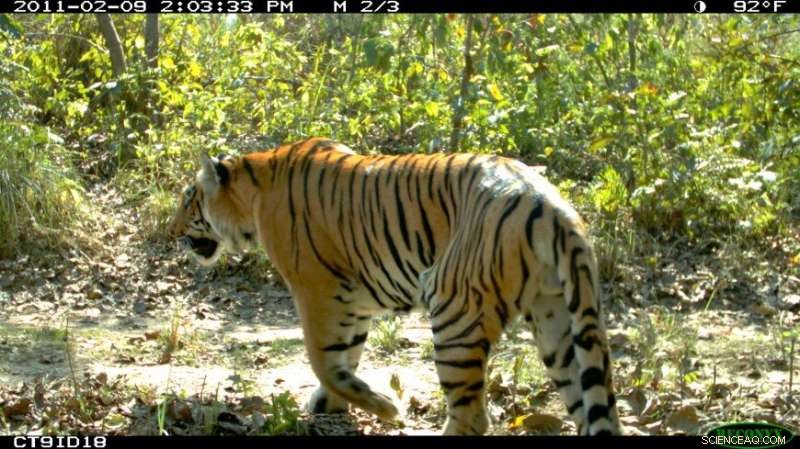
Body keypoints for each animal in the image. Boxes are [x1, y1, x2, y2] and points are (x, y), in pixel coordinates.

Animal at [166, 137, 621, 435]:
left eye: (189, 200)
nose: (173, 231)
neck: (255, 184)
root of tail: (550, 207)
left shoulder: (317, 289)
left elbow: (321, 358)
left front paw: (385, 409)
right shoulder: (351, 298)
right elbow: (345, 356)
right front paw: (334, 403)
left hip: (454, 308)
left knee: (472, 416)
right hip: (558, 321)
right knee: (592, 408)